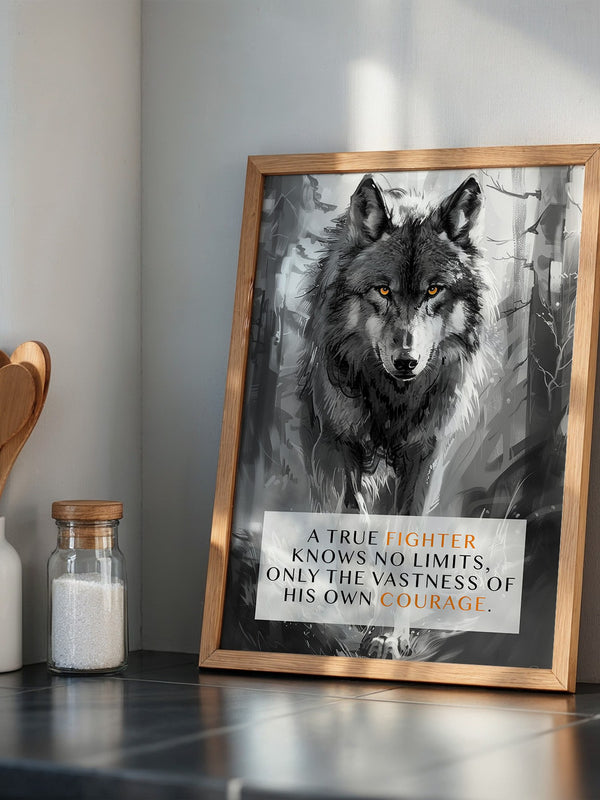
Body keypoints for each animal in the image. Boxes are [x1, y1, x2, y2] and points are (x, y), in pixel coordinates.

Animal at [297, 173, 493, 516]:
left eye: (433, 290)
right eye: (384, 290)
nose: (406, 361)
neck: (394, 400)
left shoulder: (426, 451)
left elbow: (408, 516)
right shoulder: (337, 441)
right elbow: (350, 509)